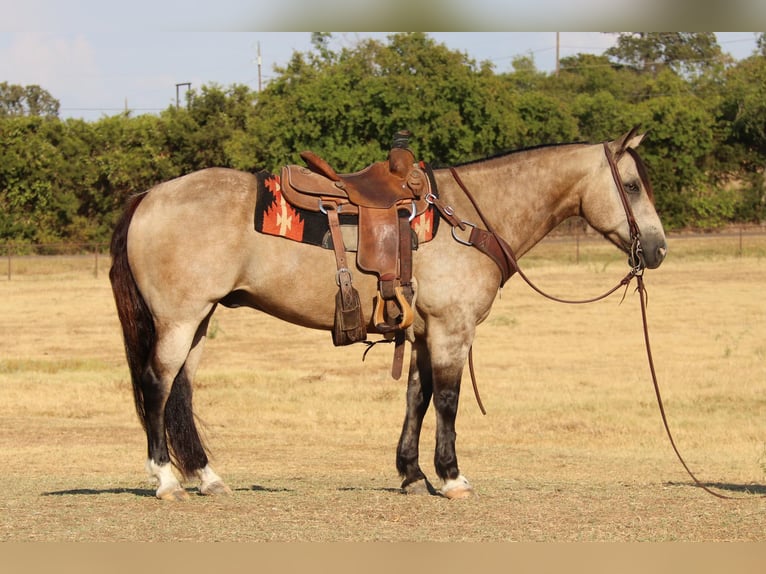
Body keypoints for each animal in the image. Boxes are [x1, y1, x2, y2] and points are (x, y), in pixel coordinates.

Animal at [111, 128, 668, 502]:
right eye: (632, 186)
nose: (658, 249)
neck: (470, 217)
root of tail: (150, 195)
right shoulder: (451, 329)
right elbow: (447, 400)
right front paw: (451, 477)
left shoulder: (422, 331)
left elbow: (416, 398)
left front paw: (412, 474)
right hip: (180, 320)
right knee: (158, 385)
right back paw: (166, 480)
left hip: (199, 321)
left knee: (180, 392)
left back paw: (207, 477)